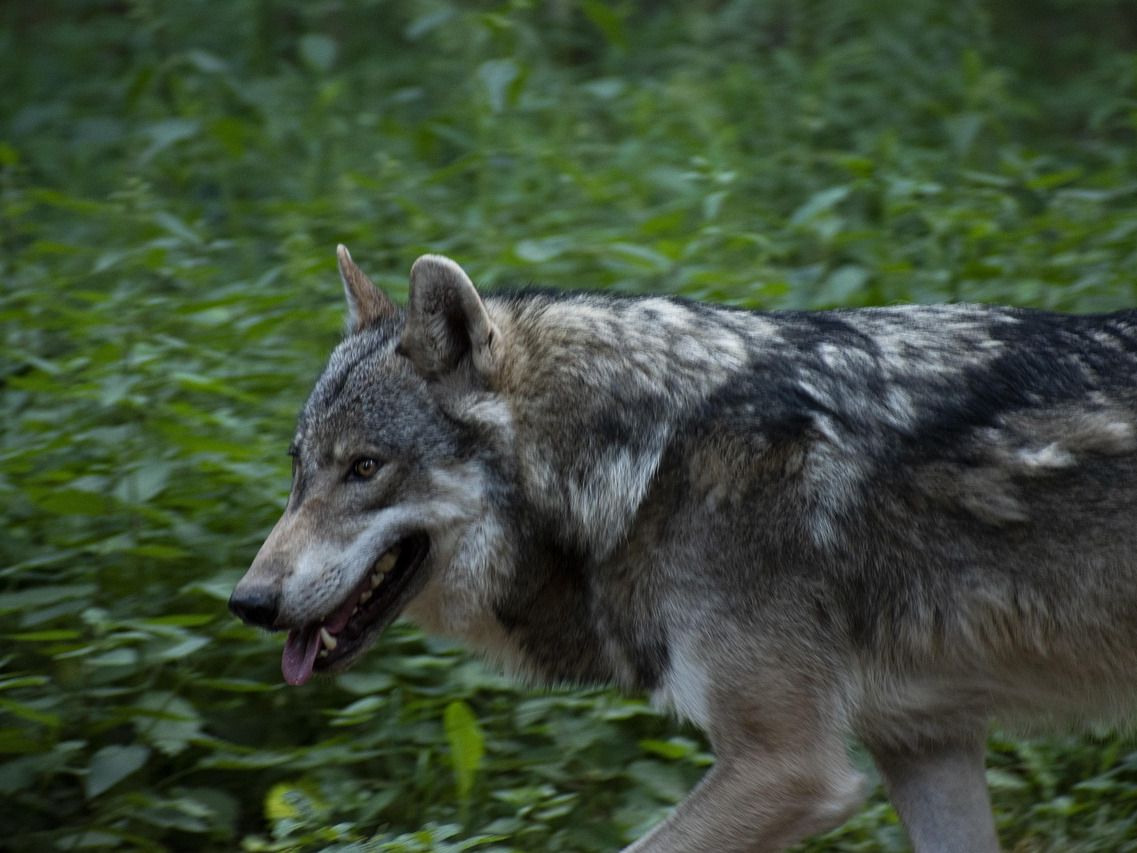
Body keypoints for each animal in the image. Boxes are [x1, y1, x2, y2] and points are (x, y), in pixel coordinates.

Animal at [230, 245, 1137, 852]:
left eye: (364, 467)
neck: (644, 468)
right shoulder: (927, 745)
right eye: (298, 467)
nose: (247, 602)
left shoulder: (788, 767)